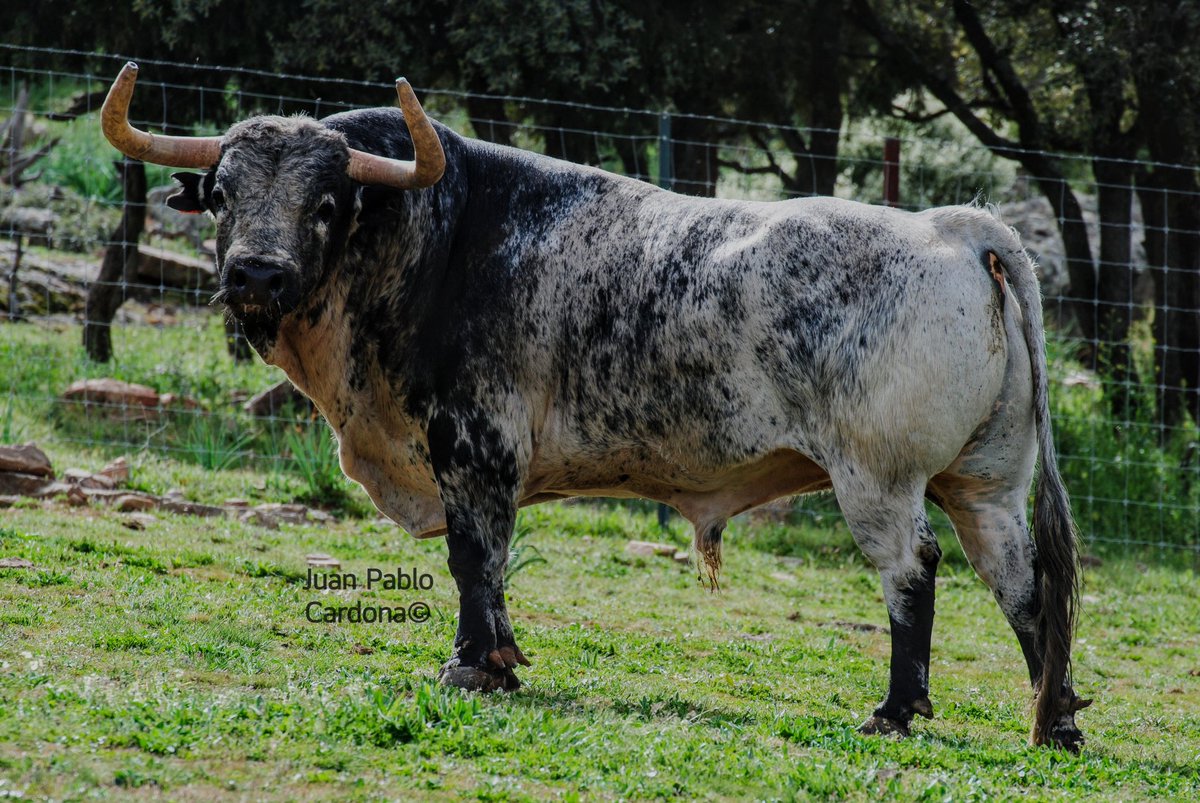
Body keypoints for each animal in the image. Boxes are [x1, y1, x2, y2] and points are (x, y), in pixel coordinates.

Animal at [105, 65, 1089, 748]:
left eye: (327, 200)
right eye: (223, 194)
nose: (255, 274)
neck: (431, 240)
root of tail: (953, 226)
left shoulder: (475, 449)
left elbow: (475, 558)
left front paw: (472, 664)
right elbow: (489, 567)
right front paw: (498, 660)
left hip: (879, 479)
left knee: (913, 572)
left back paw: (895, 709)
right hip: (985, 486)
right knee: (1023, 582)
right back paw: (1055, 718)